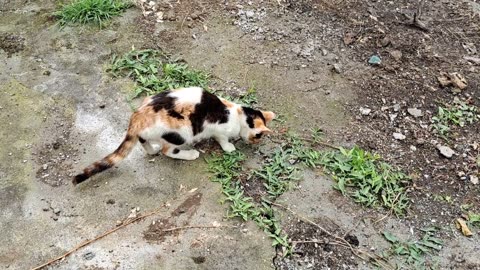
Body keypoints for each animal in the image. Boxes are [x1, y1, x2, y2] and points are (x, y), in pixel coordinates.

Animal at [71, 86, 274, 186]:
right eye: (259, 136)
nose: (256, 144)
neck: (237, 114)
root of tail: (138, 116)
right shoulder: (219, 129)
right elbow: (222, 139)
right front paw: (229, 147)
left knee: (144, 140)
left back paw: (151, 150)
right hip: (181, 132)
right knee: (168, 150)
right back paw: (190, 154)